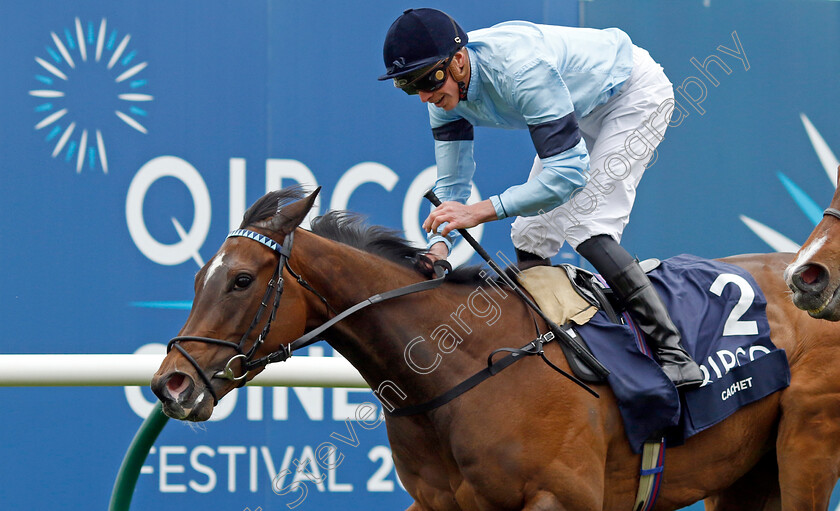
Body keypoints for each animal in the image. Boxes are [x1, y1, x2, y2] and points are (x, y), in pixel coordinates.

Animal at [153, 189, 840, 511]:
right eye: (198, 277)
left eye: (242, 280)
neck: (453, 371)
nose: (171, 384)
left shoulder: (563, 499)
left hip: (806, 448)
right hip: (744, 475)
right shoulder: (437, 505)